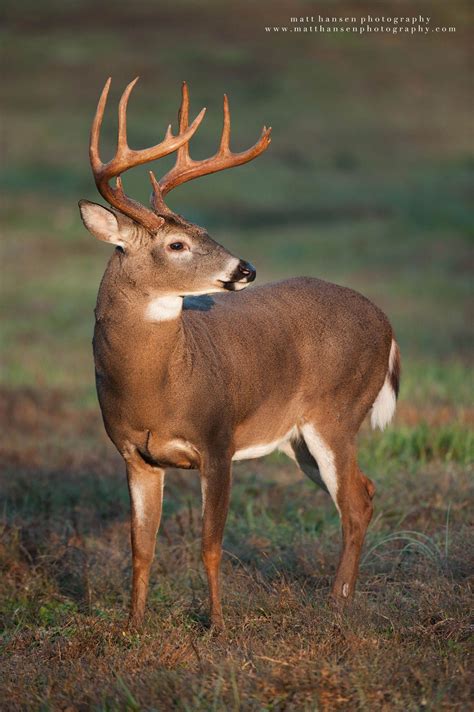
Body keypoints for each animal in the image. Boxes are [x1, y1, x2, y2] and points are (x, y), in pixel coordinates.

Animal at [79, 77, 400, 630]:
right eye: (179, 244)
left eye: (206, 231)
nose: (245, 269)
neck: (157, 387)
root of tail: (386, 323)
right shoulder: (134, 453)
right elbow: (141, 547)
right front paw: (133, 626)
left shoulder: (218, 438)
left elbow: (210, 545)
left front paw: (218, 625)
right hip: (298, 439)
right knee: (366, 490)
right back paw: (342, 596)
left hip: (336, 413)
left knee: (355, 500)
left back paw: (337, 603)